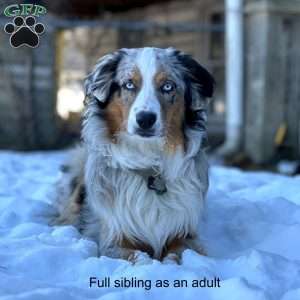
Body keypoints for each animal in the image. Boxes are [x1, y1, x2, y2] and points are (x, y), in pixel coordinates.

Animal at [53, 46, 213, 262]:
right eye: (129, 84)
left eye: (168, 86)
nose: (145, 119)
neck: (150, 165)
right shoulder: (114, 241)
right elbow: (139, 258)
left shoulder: (186, 236)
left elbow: (175, 256)